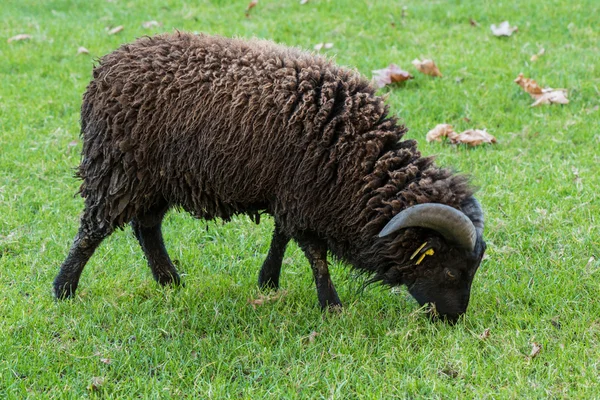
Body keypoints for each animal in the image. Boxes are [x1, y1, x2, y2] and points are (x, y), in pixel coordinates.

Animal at [55, 32, 488, 324]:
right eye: (451, 270)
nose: (453, 320)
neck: (358, 157)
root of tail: (104, 69)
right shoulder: (304, 195)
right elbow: (315, 253)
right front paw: (332, 306)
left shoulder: (292, 191)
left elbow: (281, 235)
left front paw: (268, 281)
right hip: (120, 167)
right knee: (93, 228)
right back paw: (64, 290)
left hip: (155, 178)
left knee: (146, 227)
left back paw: (169, 282)